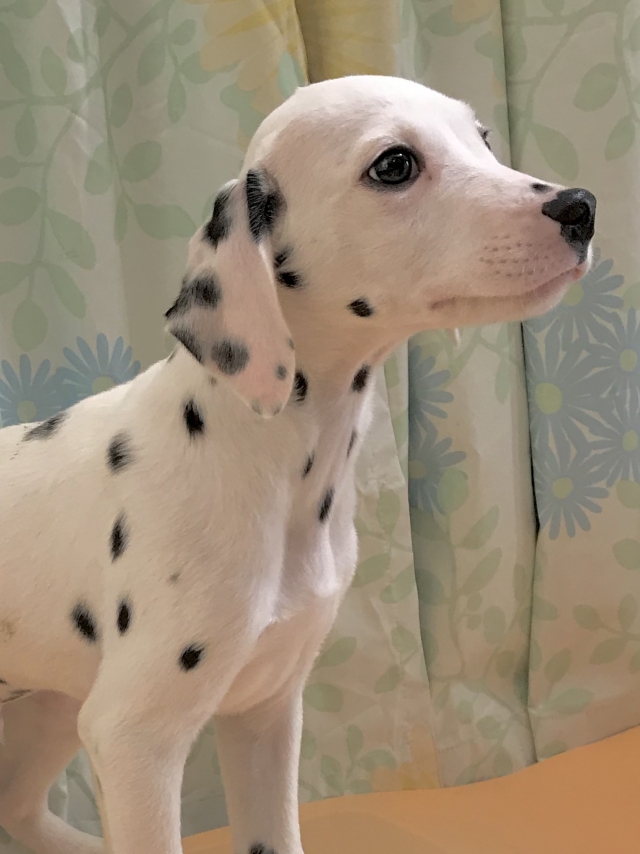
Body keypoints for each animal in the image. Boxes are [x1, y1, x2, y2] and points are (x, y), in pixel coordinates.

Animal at [0, 74, 595, 854]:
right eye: (394, 164)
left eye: (484, 139)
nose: (581, 208)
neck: (266, 457)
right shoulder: (133, 740)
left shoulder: (266, 712)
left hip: (45, 706)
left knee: (18, 809)